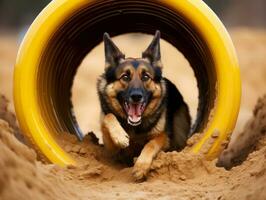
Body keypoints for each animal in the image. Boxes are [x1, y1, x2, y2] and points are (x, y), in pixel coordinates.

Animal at [97, 30, 191, 180]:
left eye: (146, 76)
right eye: (125, 77)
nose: (136, 96)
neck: (135, 128)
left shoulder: (163, 138)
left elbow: (150, 144)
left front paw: (141, 166)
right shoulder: (111, 148)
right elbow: (109, 117)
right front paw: (120, 136)